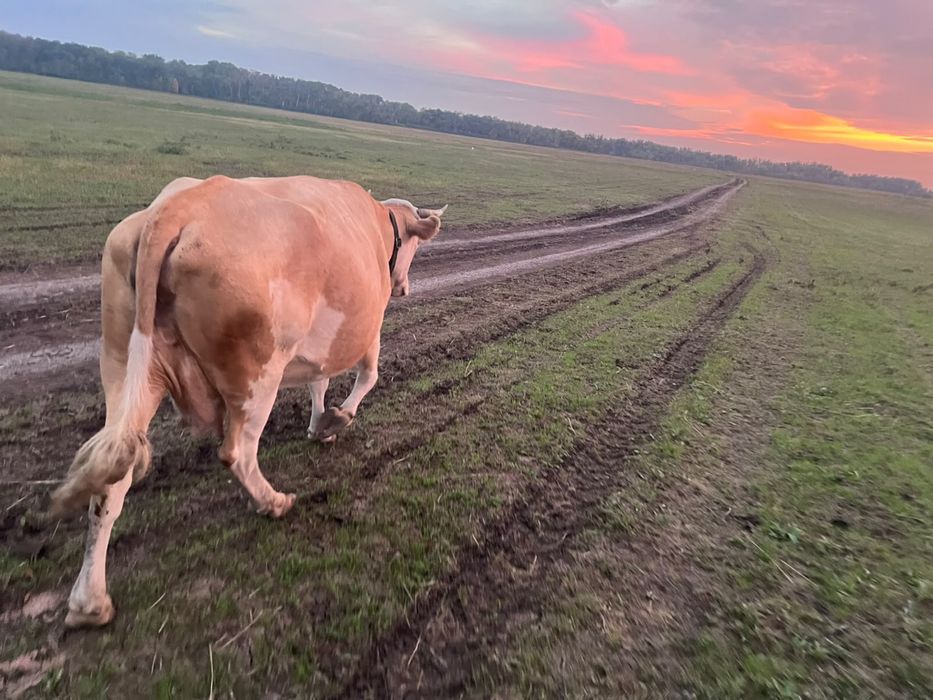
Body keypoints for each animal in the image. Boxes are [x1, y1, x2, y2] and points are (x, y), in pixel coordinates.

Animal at [49, 175, 447, 628]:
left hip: (125, 365)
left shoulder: (316, 346)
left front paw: (318, 425)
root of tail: (177, 208)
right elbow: (367, 376)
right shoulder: (367, 329)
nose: (404, 287)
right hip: (258, 373)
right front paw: (338, 419)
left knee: (111, 479)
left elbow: (318, 382)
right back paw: (273, 501)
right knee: (238, 451)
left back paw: (90, 602)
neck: (380, 224)